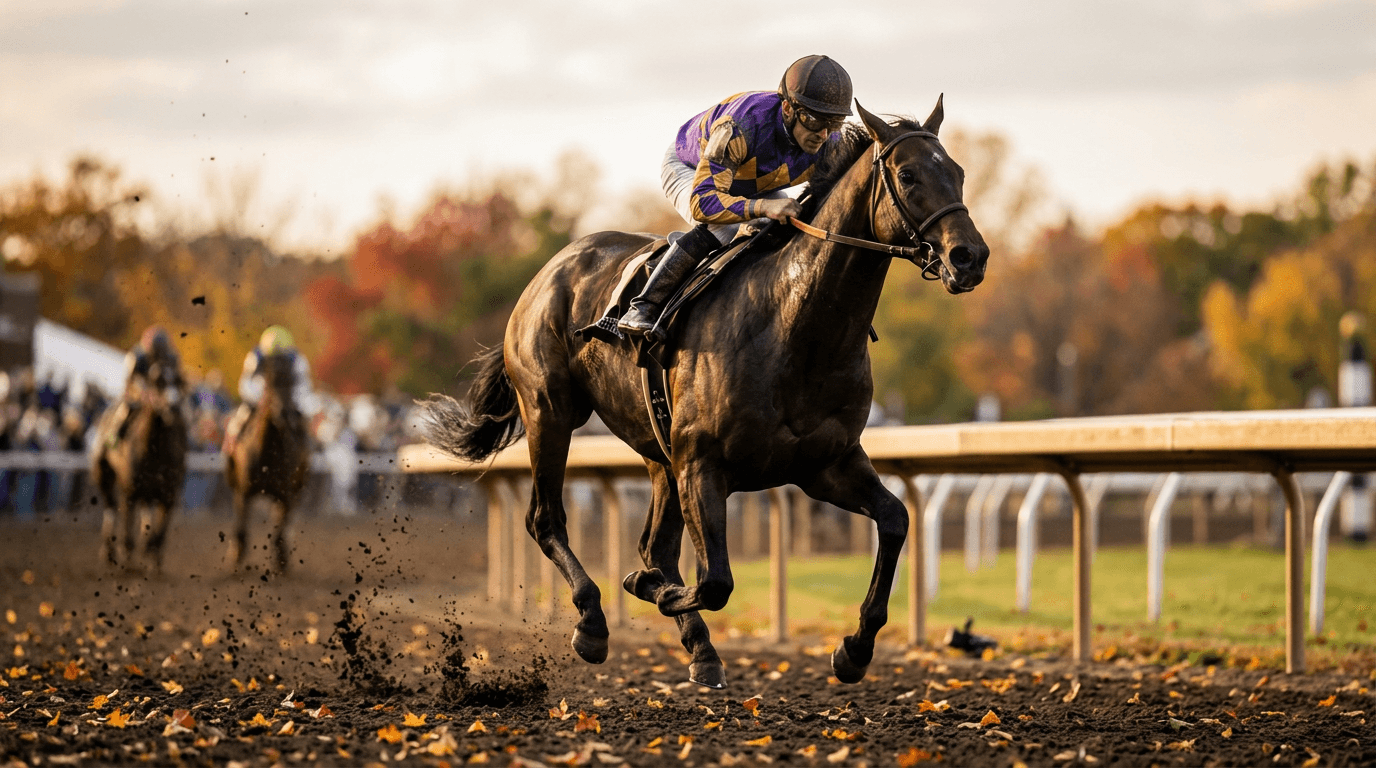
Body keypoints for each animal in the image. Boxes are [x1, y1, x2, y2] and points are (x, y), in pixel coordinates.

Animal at [92, 362, 188, 574]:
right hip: (102, 473)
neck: (153, 451)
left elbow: (159, 534)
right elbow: (127, 533)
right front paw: (126, 561)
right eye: (159, 381)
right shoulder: (129, 492)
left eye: (178, 381)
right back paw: (108, 552)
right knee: (110, 508)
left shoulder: (169, 494)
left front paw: (153, 562)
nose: (173, 406)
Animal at [224, 353, 311, 573]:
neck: (267, 452)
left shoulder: (285, 495)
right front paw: (234, 558)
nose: (285, 414)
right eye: (271, 382)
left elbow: (279, 533)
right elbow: (241, 530)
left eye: (292, 381)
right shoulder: (243, 492)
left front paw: (281, 563)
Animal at [422, 98, 989, 688]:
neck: (795, 328)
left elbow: (896, 520)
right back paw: (594, 622)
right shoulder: (702, 463)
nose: (970, 256)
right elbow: (714, 581)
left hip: (657, 450)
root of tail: (549, 269)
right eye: (908, 174)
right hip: (550, 412)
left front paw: (854, 649)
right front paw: (644, 586)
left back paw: (699, 647)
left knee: (654, 544)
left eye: (958, 172)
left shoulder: (824, 464)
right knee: (547, 518)